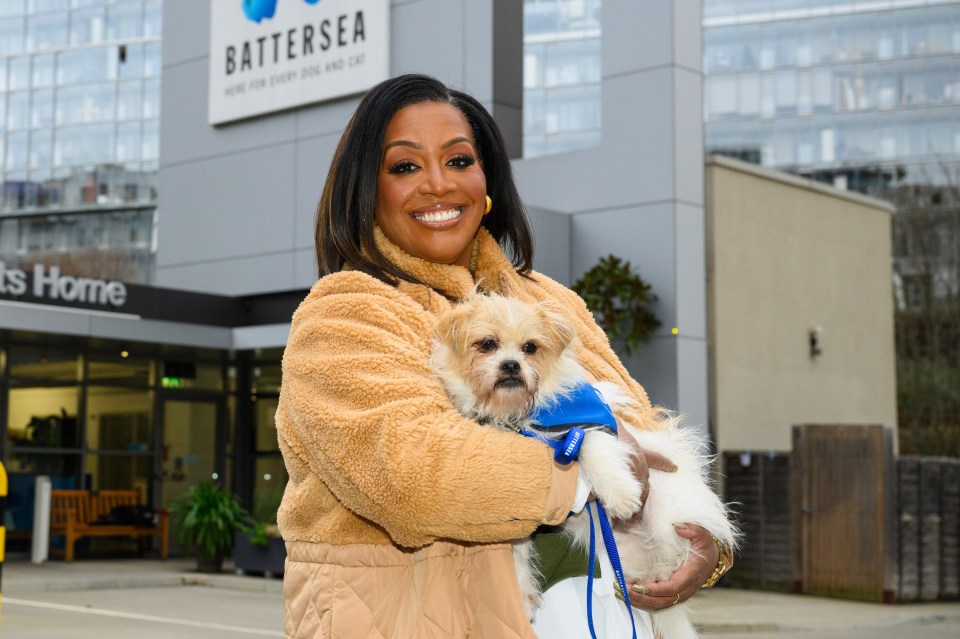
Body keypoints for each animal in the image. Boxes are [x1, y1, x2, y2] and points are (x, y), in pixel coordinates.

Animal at [432, 292, 740, 639]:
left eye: (530, 348)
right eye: (487, 344)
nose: (511, 365)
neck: (517, 416)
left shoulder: (590, 425)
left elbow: (596, 452)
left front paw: (621, 496)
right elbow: (516, 547)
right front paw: (522, 592)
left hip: (665, 518)